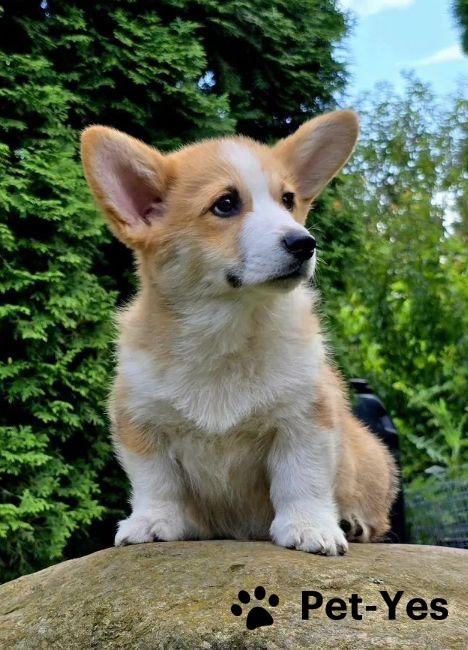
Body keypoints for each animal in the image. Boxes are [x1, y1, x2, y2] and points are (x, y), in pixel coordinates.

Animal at [81, 110, 397, 556]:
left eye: (288, 200)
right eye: (225, 204)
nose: (305, 243)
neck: (227, 328)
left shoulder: (305, 419)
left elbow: (302, 478)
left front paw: (310, 528)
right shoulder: (140, 421)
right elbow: (155, 482)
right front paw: (152, 522)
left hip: (371, 457)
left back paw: (353, 523)